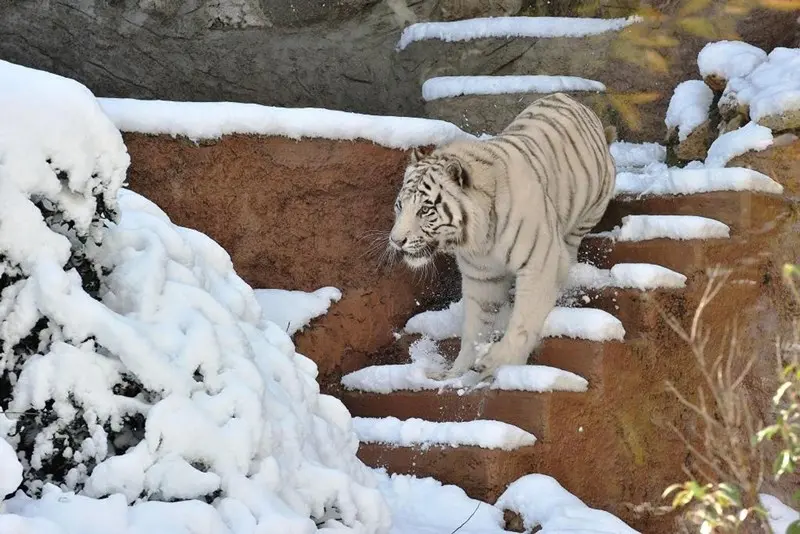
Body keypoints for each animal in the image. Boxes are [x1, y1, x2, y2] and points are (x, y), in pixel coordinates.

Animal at [390, 94, 616, 384]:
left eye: (425, 210)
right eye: (399, 206)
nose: (396, 241)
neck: (479, 239)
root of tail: (571, 99)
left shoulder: (539, 262)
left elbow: (524, 319)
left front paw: (498, 362)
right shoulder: (481, 277)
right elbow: (475, 327)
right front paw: (455, 373)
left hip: (589, 211)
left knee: (570, 248)